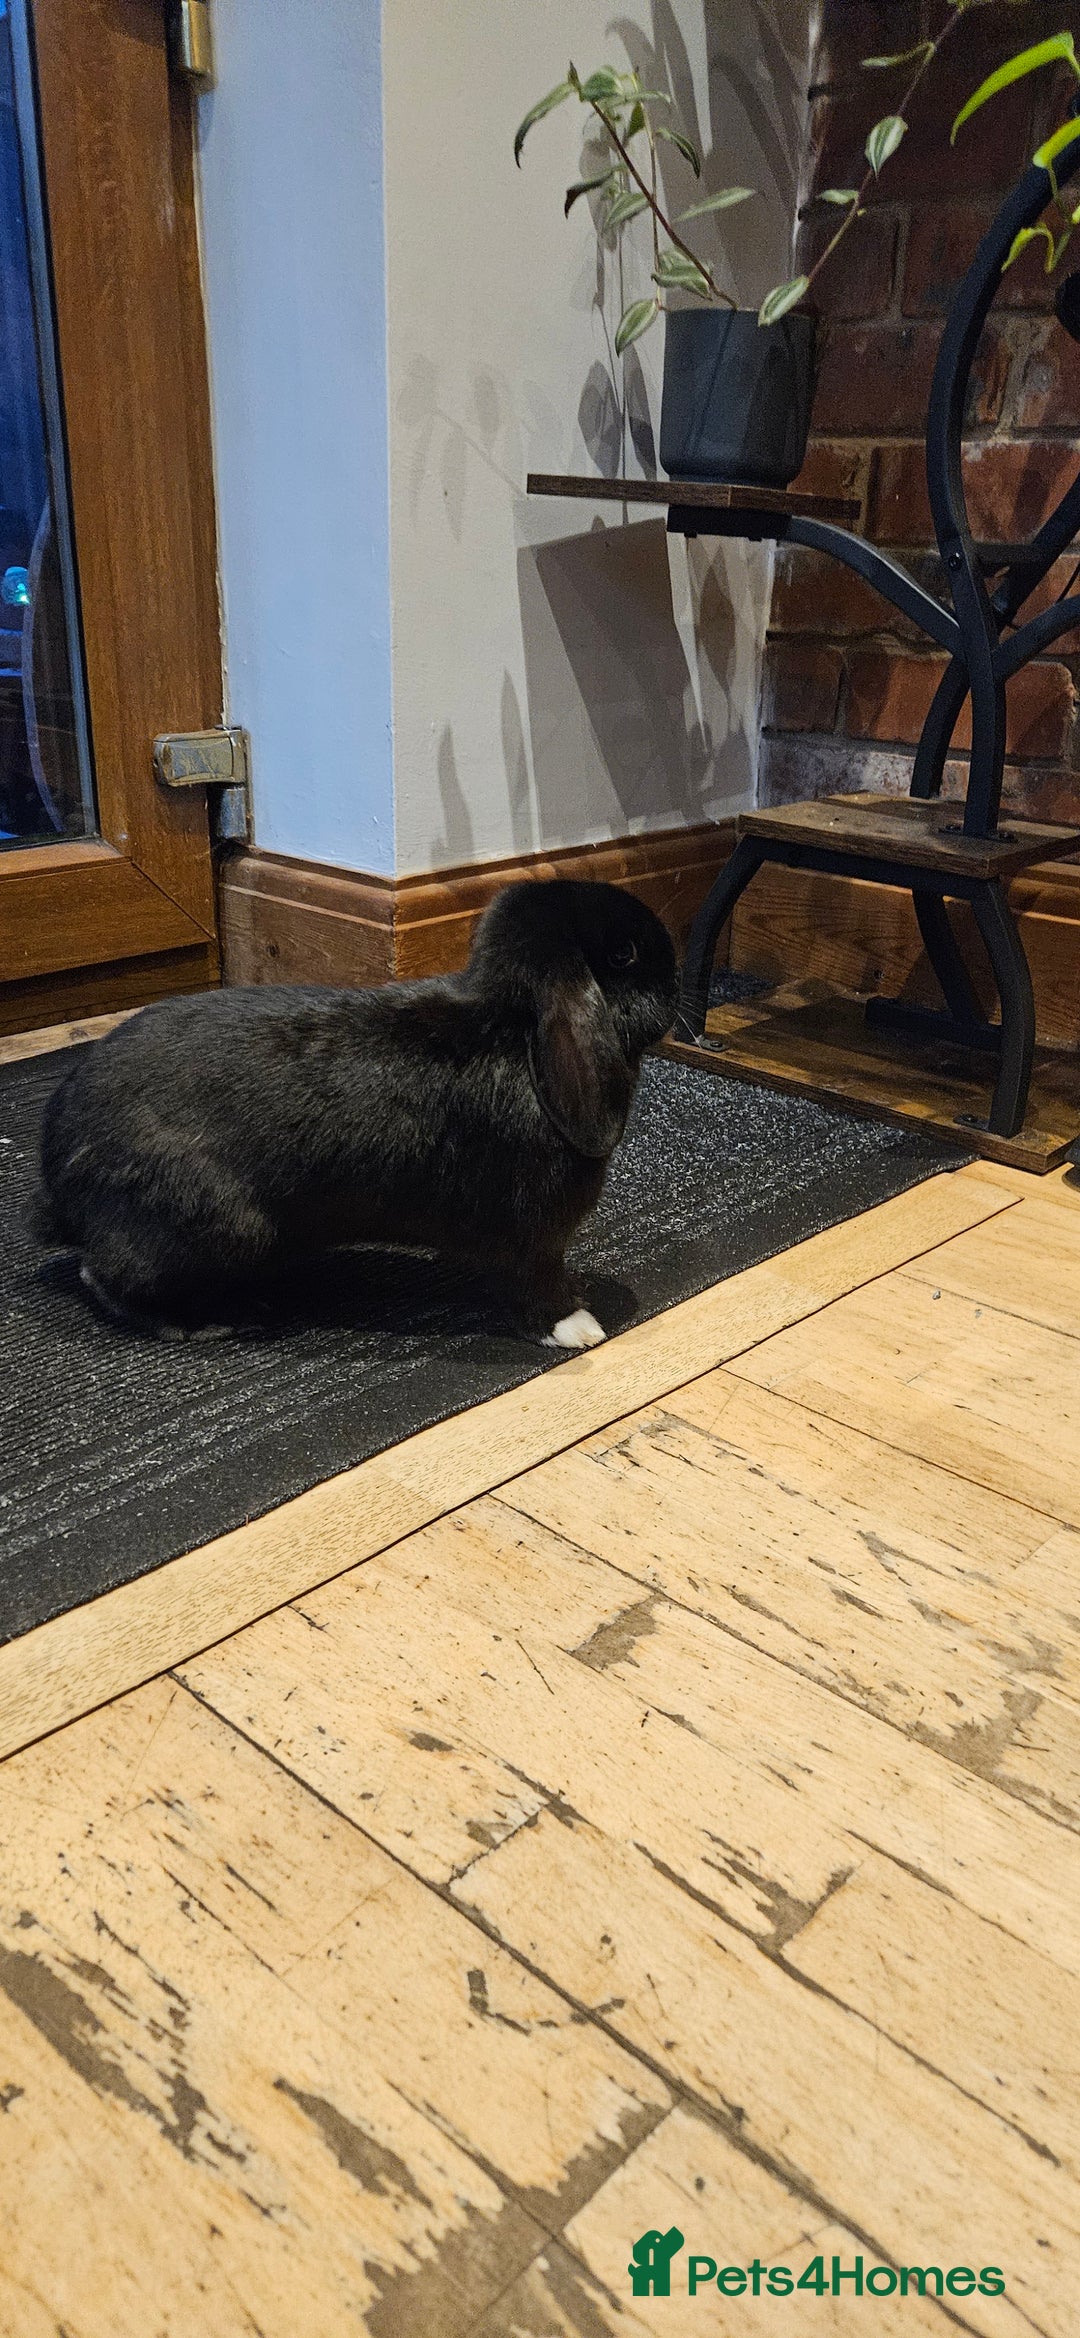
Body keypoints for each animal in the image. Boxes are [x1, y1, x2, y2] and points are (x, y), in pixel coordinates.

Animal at [36, 877, 679, 1345]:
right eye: (624, 954)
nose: (675, 986)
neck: (515, 1035)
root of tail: (59, 1171)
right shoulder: (531, 1233)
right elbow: (535, 1283)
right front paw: (576, 1326)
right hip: (219, 1228)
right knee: (106, 1277)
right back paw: (213, 1321)